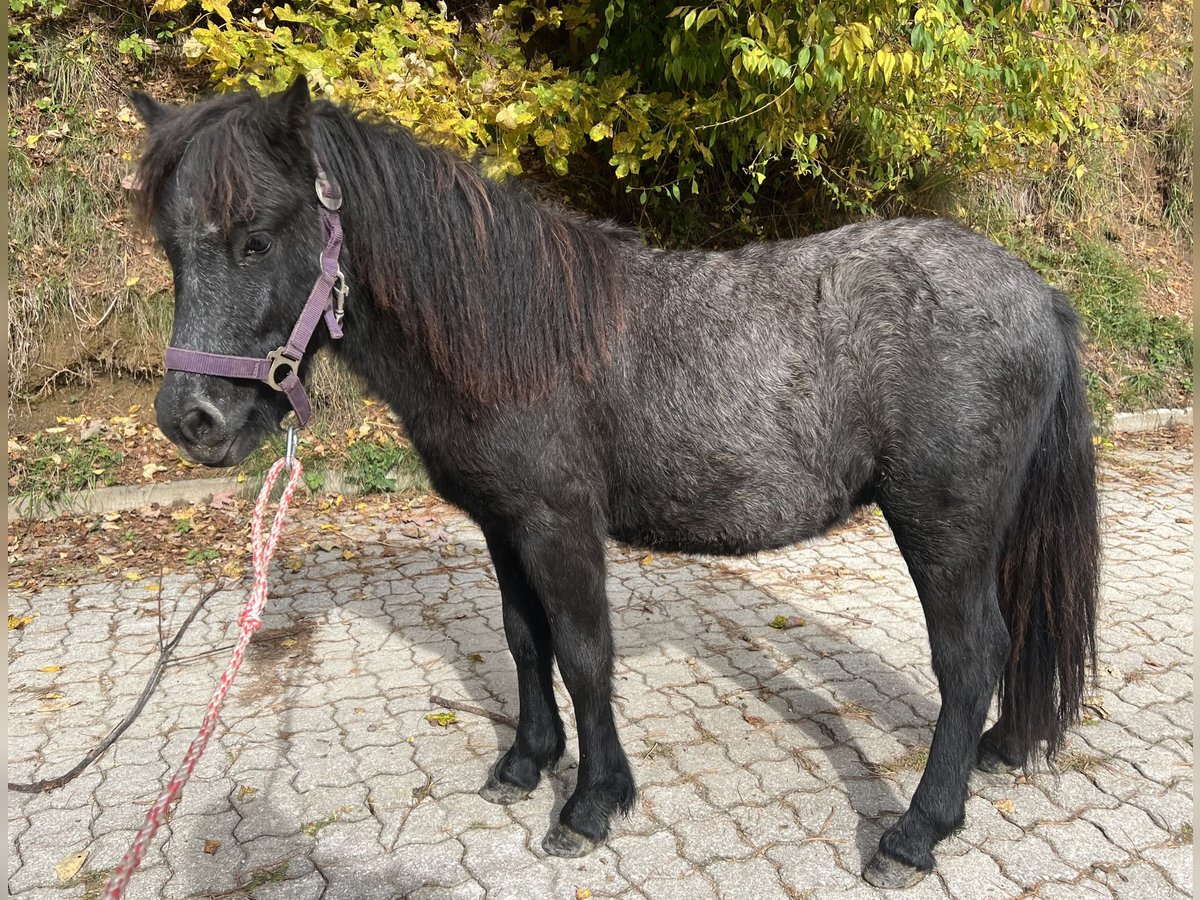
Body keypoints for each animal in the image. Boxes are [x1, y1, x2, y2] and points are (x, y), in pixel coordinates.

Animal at [129, 75, 1099, 888]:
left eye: (257, 239)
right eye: (173, 249)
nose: (191, 420)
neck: (512, 332)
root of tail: (1037, 293)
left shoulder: (561, 524)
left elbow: (585, 653)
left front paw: (593, 803)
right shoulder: (503, 522)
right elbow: (526, 640)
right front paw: (526, 763)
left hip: (942, 525)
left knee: (970, 654)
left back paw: (916, 832)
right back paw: (1002, 747)